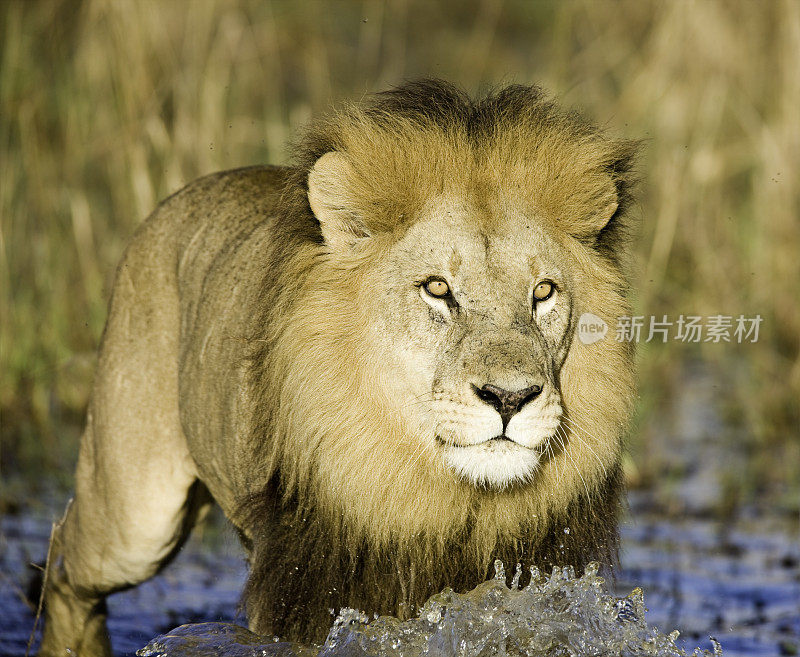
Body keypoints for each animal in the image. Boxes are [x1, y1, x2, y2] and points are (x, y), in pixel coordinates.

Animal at [37, 79, 636, 652]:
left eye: (543, 292)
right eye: (437, 289)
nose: (510, 398)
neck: (451, 501)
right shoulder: (306, 589)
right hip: (135, 518)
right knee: (63, 563)